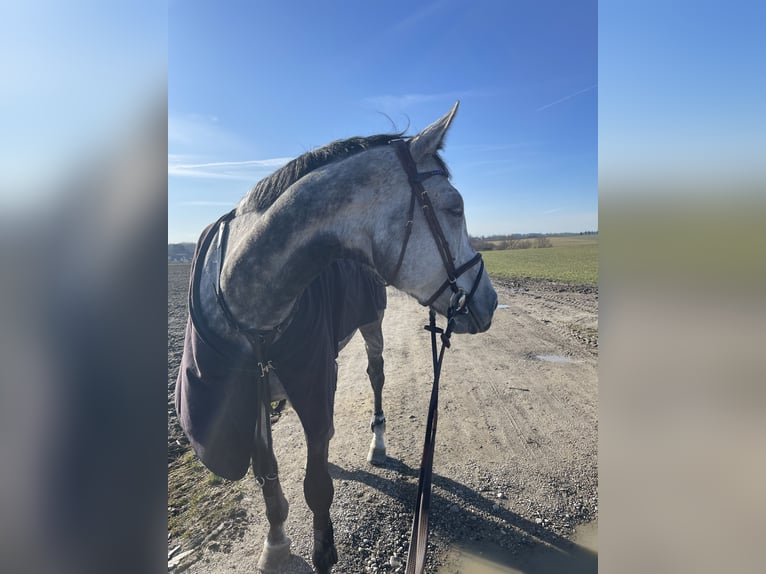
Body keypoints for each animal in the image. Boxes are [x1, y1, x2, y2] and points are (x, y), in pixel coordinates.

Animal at [175, 102, 497, 573]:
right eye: (455, 208)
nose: (490, 300)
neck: (247, 298)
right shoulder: (251, 399)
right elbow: (268, 476)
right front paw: (275, 543)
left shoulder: (313, 386)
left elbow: (317, 485)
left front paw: (323, 551)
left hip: (372, 325)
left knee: (376, 375)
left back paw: (377, 442)